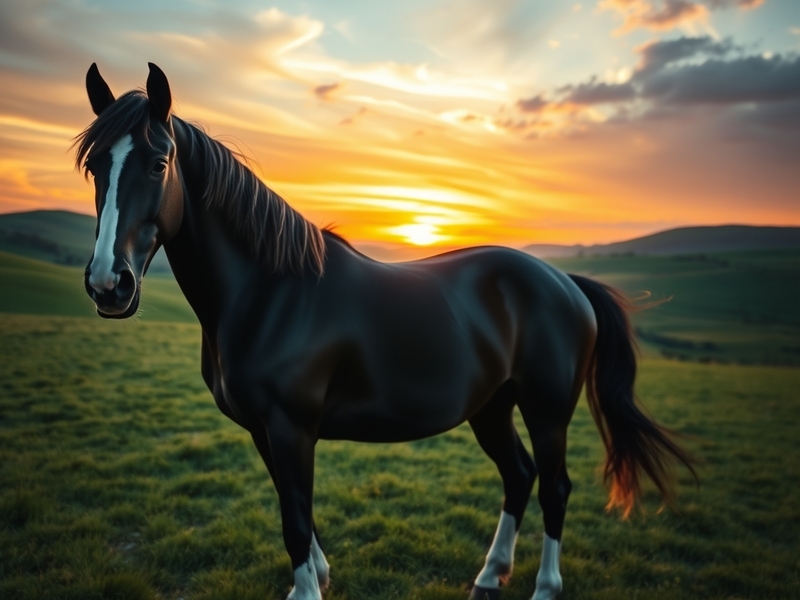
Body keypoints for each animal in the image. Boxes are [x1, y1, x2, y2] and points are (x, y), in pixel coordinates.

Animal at [76, 63, 695, 600]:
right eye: (94, 167)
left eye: (159, 164)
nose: (109, 284)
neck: (271, 293)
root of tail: (566, 282)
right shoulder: (264, 431)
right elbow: (295, 510)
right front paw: (317, 579)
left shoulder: (291, 428)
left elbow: (295, 520)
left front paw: (307, 590)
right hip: (492, 406)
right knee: (518, 477)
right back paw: (489, 576)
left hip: (547, 410)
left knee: (554, 488)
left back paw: (544, 587)